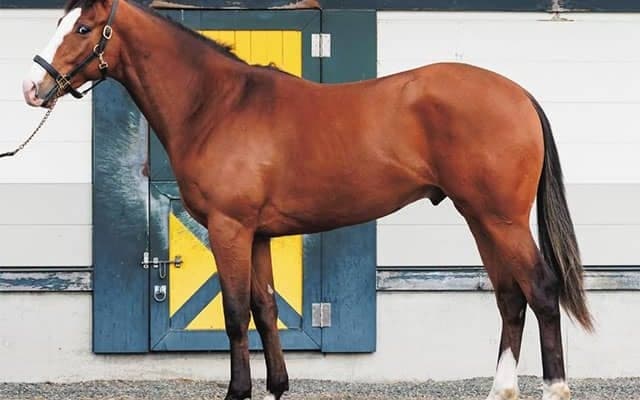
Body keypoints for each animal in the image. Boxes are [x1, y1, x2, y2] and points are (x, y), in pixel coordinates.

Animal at [22, 0, 593, 399]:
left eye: (81, 29)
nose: (32, 86)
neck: (217, 105)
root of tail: (519, 94)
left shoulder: (229, 228)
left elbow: (235, 312)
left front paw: (238, 391)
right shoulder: (257, 235)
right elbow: (266, 307)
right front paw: (276, 387)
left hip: (501, 219)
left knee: (542, 290)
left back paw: (555, 387)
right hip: (481, 217)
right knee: (510, 297)